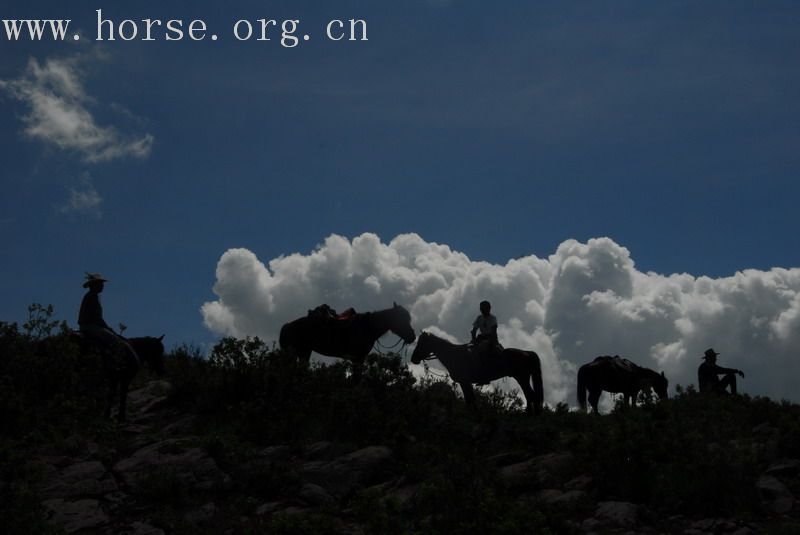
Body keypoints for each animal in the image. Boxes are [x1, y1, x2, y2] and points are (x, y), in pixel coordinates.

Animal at [280, 304, 416, 366]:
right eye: (401, 319)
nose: (412, 337)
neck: (367, 327)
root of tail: (287, 325)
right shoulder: (358, 358)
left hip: (305, 352)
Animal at [412, 330, 544, 414]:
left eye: (421, 343)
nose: (413, 359)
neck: (455, 356)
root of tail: (527, 352)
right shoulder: (466, 383)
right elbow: (471, 398)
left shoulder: (464, 382)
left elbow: (469, 399)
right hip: (523, 379)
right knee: (529, 395)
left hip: (522, 378)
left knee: (532, 395)